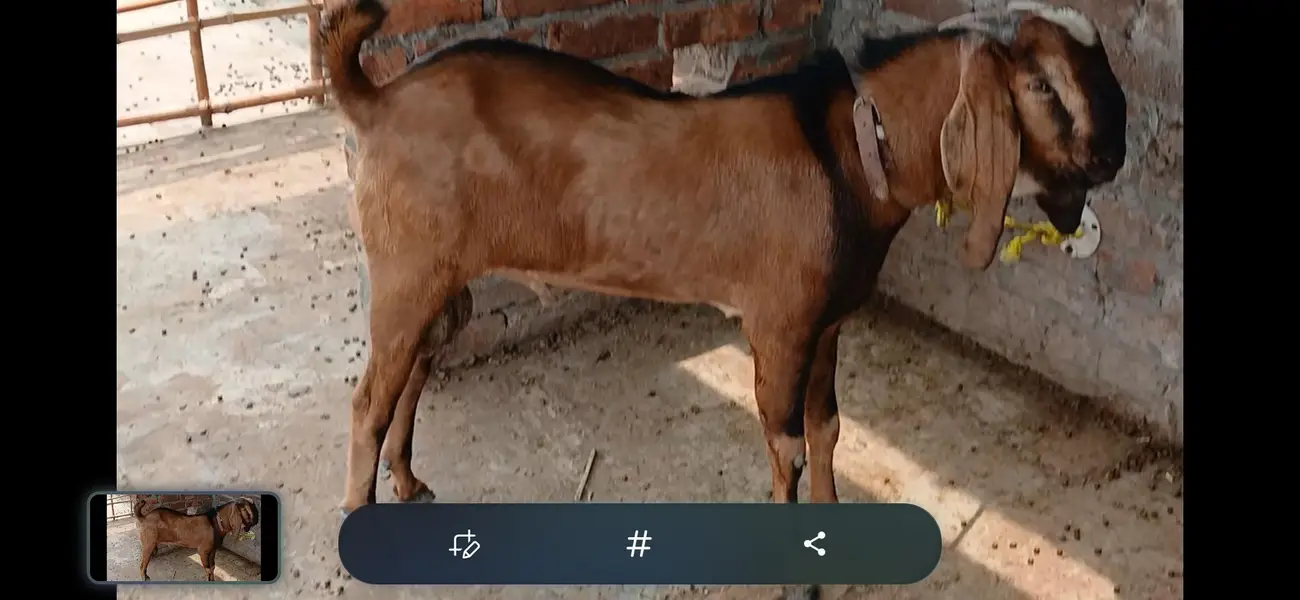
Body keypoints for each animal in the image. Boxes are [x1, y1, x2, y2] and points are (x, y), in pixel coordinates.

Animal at [321, 0, 1127, 519]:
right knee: (366, 400)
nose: (1114, 155)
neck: (851, 152)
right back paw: (359, 511)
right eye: (1042, 85)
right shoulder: (778, 324)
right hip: (405, 270)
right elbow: (788, 447)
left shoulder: (828, 324)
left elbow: (830, 429)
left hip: (441, 278)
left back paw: (407, 482)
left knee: (414, 369)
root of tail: (376, 98)